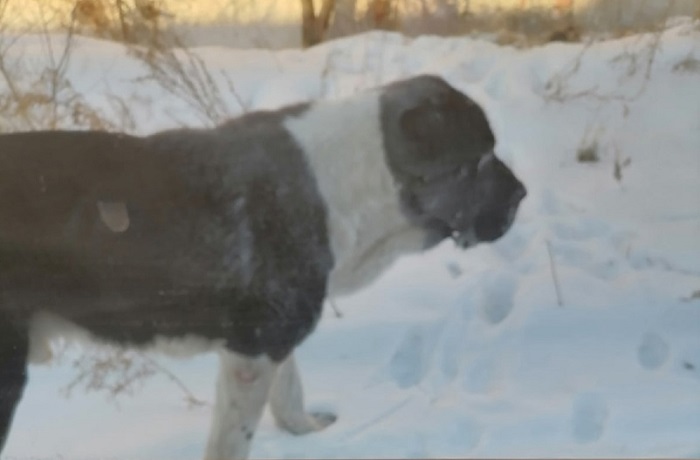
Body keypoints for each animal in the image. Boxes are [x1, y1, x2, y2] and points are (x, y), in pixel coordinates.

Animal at [0, 75, 526, 459]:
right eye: (481, 158)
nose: (522, 194)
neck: (360, 180)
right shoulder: (252, 350)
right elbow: (233, 440)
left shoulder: (275, 332)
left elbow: (290, 390)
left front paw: (308, 433)